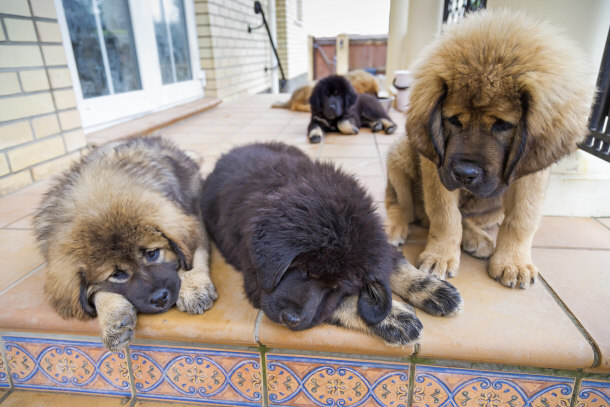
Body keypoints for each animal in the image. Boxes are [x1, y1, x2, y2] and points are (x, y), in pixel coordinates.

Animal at [35, 137, 216, 350]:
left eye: (152, 253)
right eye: (117, 274)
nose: (160, 299)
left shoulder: (195, 217)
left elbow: (194, 257)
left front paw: (192, 288)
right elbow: (97, 292)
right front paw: (112, 317)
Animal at [200, 142, 460, 346]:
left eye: (336, 287)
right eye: (304, 270)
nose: (290, 319)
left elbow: (395, 265)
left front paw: (433, 289)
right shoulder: (257, 280)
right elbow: (340, 305)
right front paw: (394, 316)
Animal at [384, 9, 592, 290]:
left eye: (503, 124)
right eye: (453, 120)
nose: (464, 174)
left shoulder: (530, 171)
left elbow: (523, 217)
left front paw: (513, 262)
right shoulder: (437, 166)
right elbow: (444, 213)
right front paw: (441, 255)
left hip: (495, 202)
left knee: (468, 217)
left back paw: (478, 238)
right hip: (402, 154)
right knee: (401, 204)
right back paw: (394, 227)